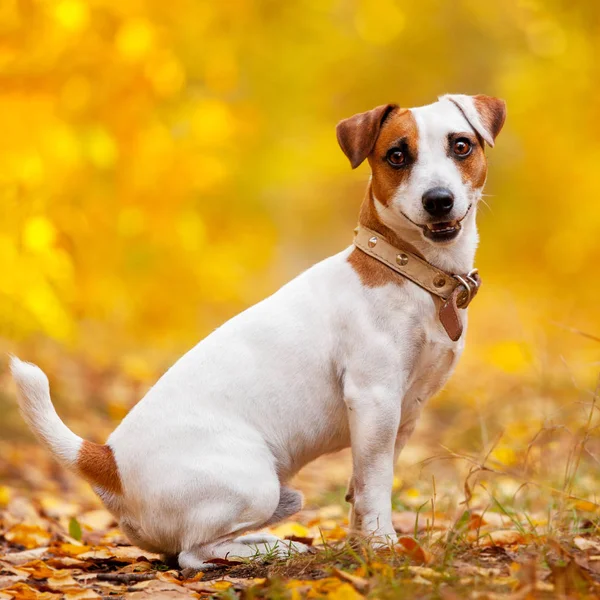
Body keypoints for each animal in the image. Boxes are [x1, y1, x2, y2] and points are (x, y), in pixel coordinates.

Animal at [10, 92, 506, 568]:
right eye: (397, 155)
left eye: (461, 145)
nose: (438, 199)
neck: (410, 271)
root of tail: (109, 462)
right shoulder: (375, 397)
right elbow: (376, 484)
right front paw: (382, 545)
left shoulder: (405, 411)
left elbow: (364, 485)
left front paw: (360, 542)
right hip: (255, 485)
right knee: (193, 554)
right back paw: (277, 551)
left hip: (283, 495)